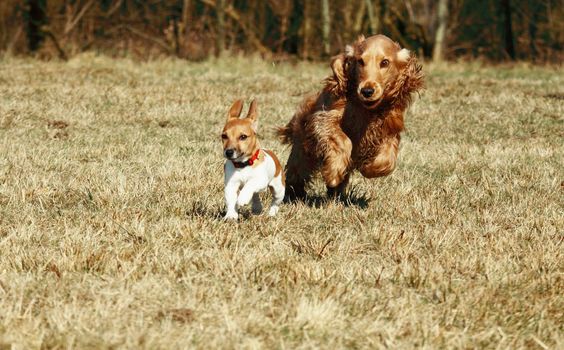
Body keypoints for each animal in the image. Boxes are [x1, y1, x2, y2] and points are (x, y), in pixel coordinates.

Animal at [278, 35, 424, 200]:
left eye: (385, 62)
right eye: (360, 61)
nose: (367, 91)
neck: (368, 111)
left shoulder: (390, 128)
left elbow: (388, 161)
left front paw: (368, 167)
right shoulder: (325, 118)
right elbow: (344, 141)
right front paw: (333, 172)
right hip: (303, 151)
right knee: (296, 173)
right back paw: (293, 194)